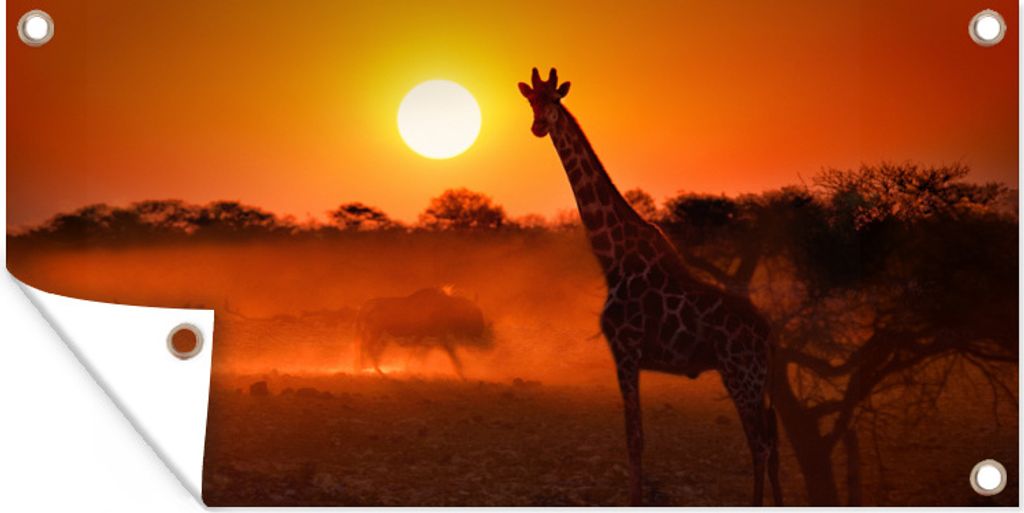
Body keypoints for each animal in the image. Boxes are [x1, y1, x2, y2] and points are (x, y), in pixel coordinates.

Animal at [518, 68, 782, 506]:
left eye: (555, 98)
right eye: (531, 101)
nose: (540, 126)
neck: (612, 258)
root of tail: (769, 334)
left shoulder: (625, 348)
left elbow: (635, 438)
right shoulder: (628, 354)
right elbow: (635, 437)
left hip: (741, 373)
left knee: (760, 444)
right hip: (757, 379)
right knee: (773, 444)